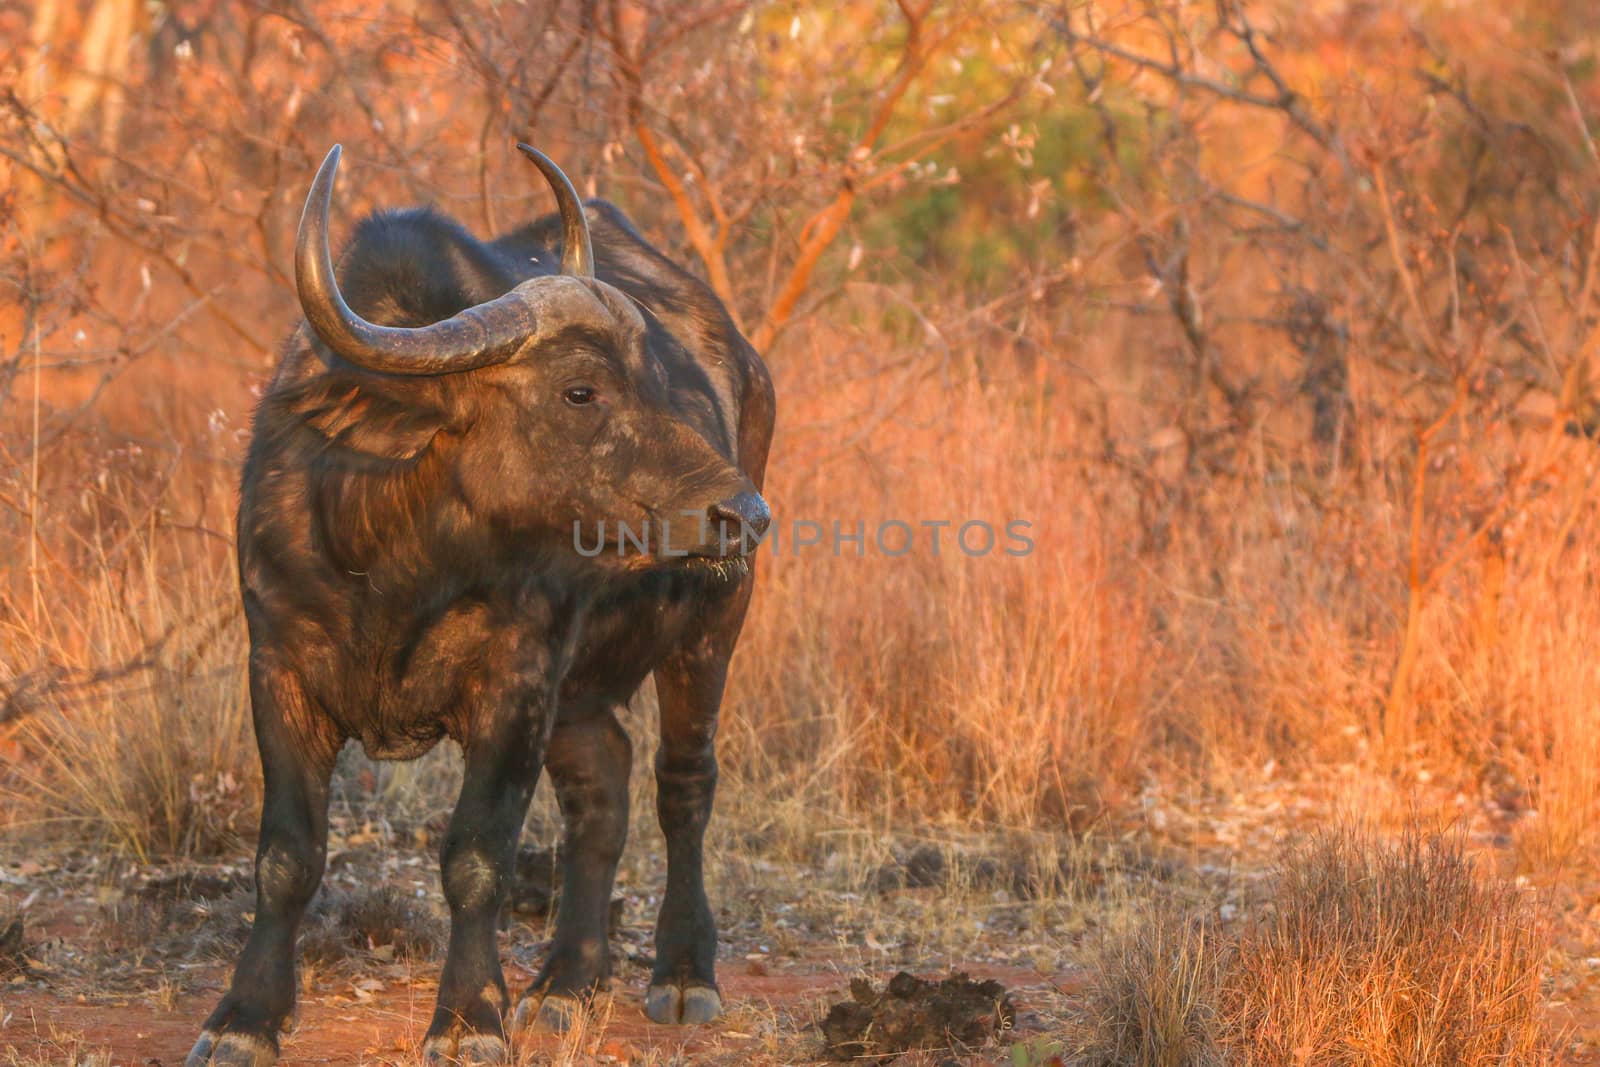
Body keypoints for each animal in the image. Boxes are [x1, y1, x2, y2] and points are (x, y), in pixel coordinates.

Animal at [187, 143, 774, 1067]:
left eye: (656, 378)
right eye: (580, 390)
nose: (743, 512)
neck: (397, 557)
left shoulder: (516, 684)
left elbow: (476, 857)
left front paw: (467, 1016)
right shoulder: (278, 670)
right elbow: (286, 854)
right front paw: (246, 1015)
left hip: (712, 623)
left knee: (683, 783)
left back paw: (682, 970)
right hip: (584, 687)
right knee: (602, 787)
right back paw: (566, 981)